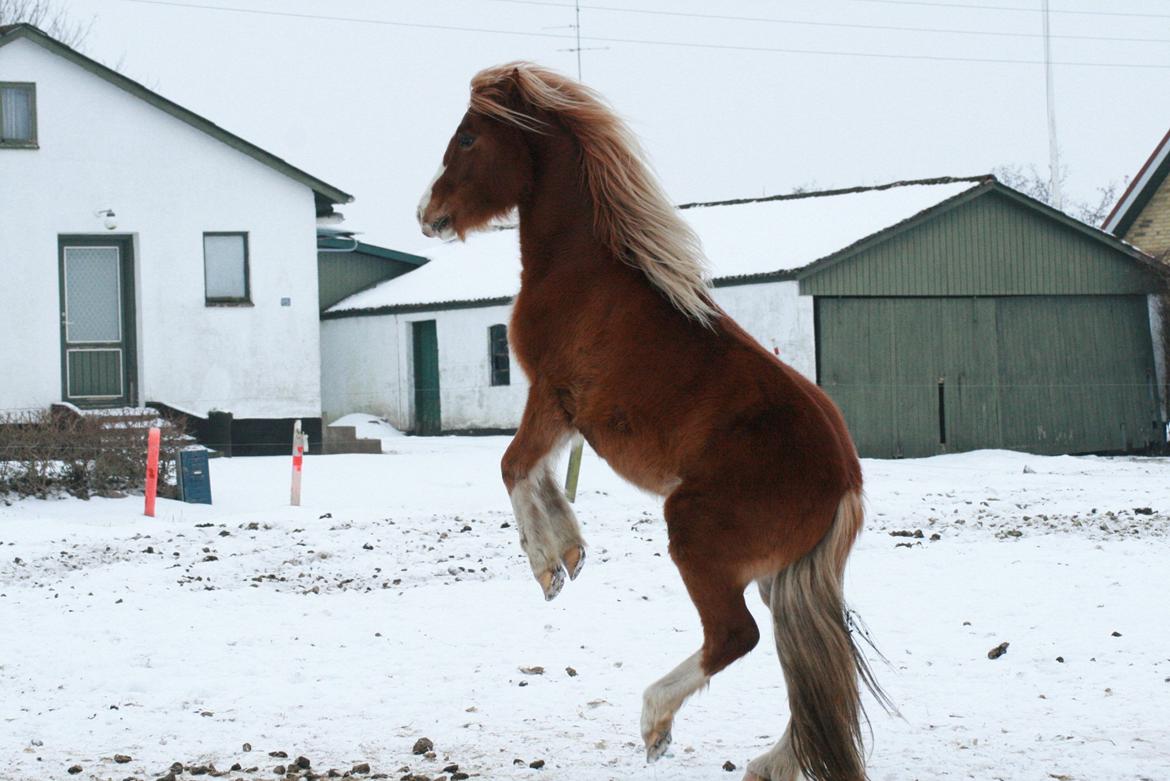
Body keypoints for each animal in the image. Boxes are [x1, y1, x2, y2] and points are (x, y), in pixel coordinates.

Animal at [416, 62, 879, 781]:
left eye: (467, 137)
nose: (427, 214)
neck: (582, 268)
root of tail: (844, 480)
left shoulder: (553, 394)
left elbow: (514, 464)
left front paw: (548, 566)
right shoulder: (569, 414)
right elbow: (540, 471)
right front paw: (570, 553)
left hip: (696, 536)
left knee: (737, 637)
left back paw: (656, 722)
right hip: (783, 576)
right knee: (811, 663)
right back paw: (770, 761)